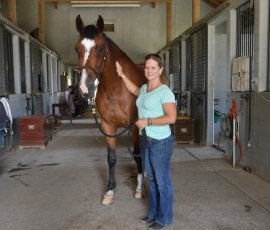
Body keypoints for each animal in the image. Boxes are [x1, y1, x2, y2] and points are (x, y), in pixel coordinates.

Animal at [75, 14, 147, 205]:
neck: (118, 88)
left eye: (100, 49)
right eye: (77, 49)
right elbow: (111, 159)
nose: (85, 89)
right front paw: (109, 192)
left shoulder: (134, 127)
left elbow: (137, 154)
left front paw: (139, 189)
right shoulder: (108, 127)